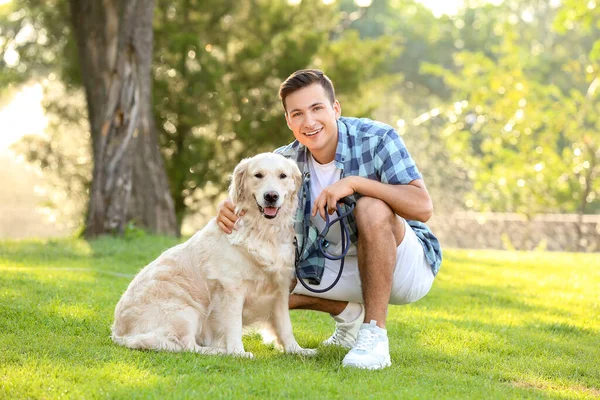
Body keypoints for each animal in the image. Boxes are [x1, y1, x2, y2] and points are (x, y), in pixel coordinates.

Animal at [109, 152, 314, 358]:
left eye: (283, 176)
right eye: (258, 175)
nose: (271, 196)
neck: (263, 232)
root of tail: (119, 333)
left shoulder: (280, 288)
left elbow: (285, 325)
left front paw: (297, 350)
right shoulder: (231, 288)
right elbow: (234, 325)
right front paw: (238, 352)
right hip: (185, 310)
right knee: (187, 345)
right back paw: (218, 350)